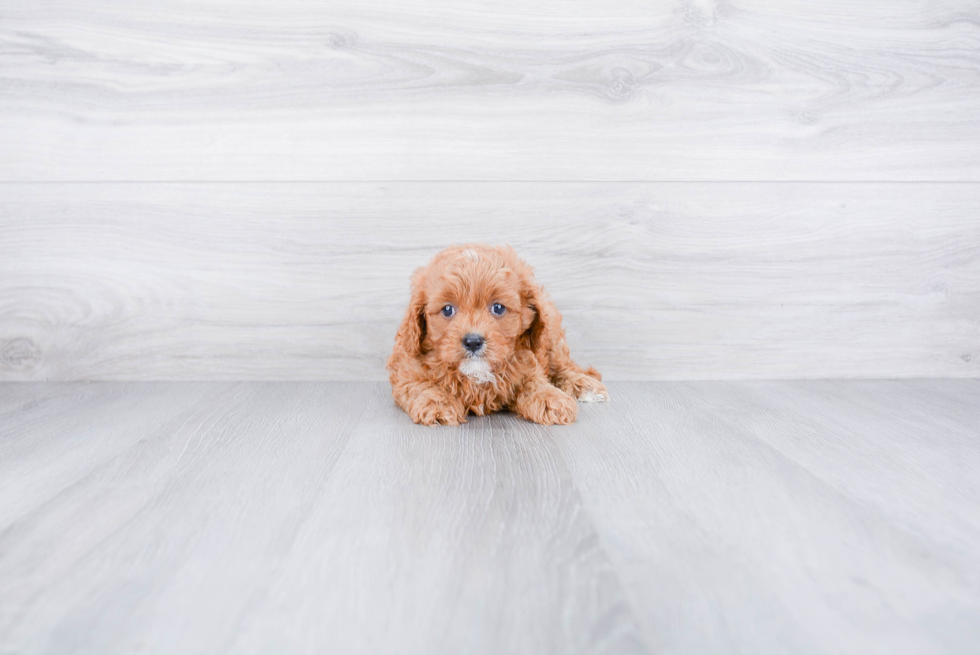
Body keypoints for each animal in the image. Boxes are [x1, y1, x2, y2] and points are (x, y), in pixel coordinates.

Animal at [386, 245, 608, 426]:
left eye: (498, 308)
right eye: (447, 310)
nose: (473, 341)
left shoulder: (528, 364)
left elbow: (534, 382)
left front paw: (550, 399)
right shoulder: (406, 370)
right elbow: (420, 385)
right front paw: (437, 403)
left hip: (551, 336)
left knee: (562, 367)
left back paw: (585, 385)